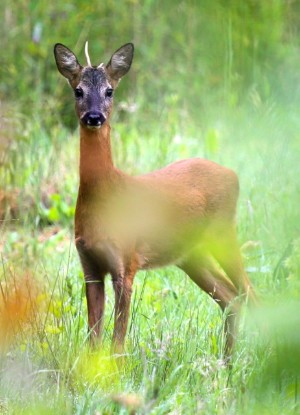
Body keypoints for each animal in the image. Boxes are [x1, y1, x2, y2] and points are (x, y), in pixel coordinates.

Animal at [54, 40, 255, 358]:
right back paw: (226, 363)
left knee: (250, 293)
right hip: (191, 254)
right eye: (78, 90)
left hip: (224, 232)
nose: (94, 117)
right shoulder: (89, 264)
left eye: (109, 90)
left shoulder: (126, 262)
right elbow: (93, 340)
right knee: (230, 297)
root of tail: (232, 174)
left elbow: (118, 341)